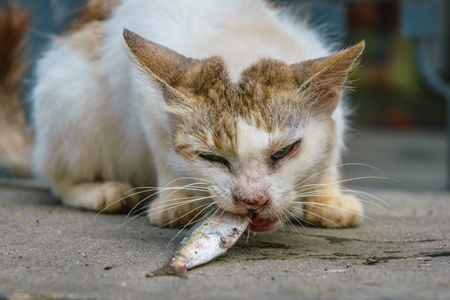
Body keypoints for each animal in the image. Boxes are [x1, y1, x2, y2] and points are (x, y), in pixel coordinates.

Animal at [0, 0, 364, 232]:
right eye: (212, 158)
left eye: (284, 151)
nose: (252, 200)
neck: (239, 37)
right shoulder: (144, 100)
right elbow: (161, 149)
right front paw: (175, 202)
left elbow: (332, 147)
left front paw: (328, 198)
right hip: (69, 102)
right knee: (56, 176)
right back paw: (101, 191)